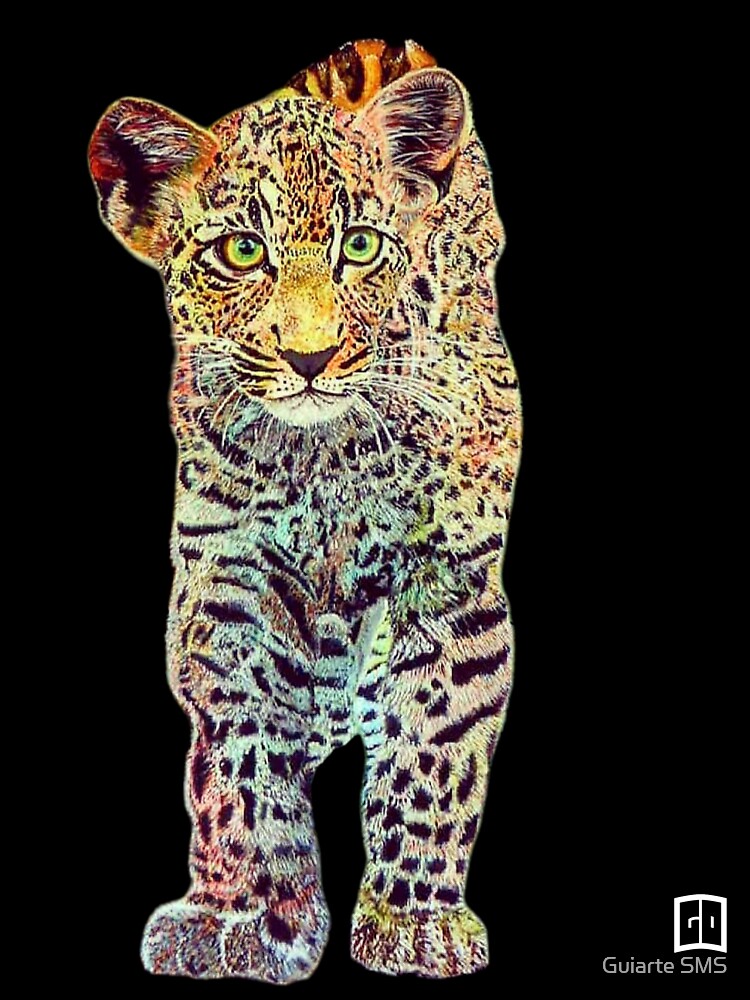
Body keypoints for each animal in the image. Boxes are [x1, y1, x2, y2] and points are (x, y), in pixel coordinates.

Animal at [89, 38, 521, 982]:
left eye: (359, 246)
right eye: (241, 252)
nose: (310, 357)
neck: (324, 457)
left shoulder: (454, 586)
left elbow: (433, 751)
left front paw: (414, 922)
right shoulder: (228, 584)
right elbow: (241, 757)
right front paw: (249, 915)